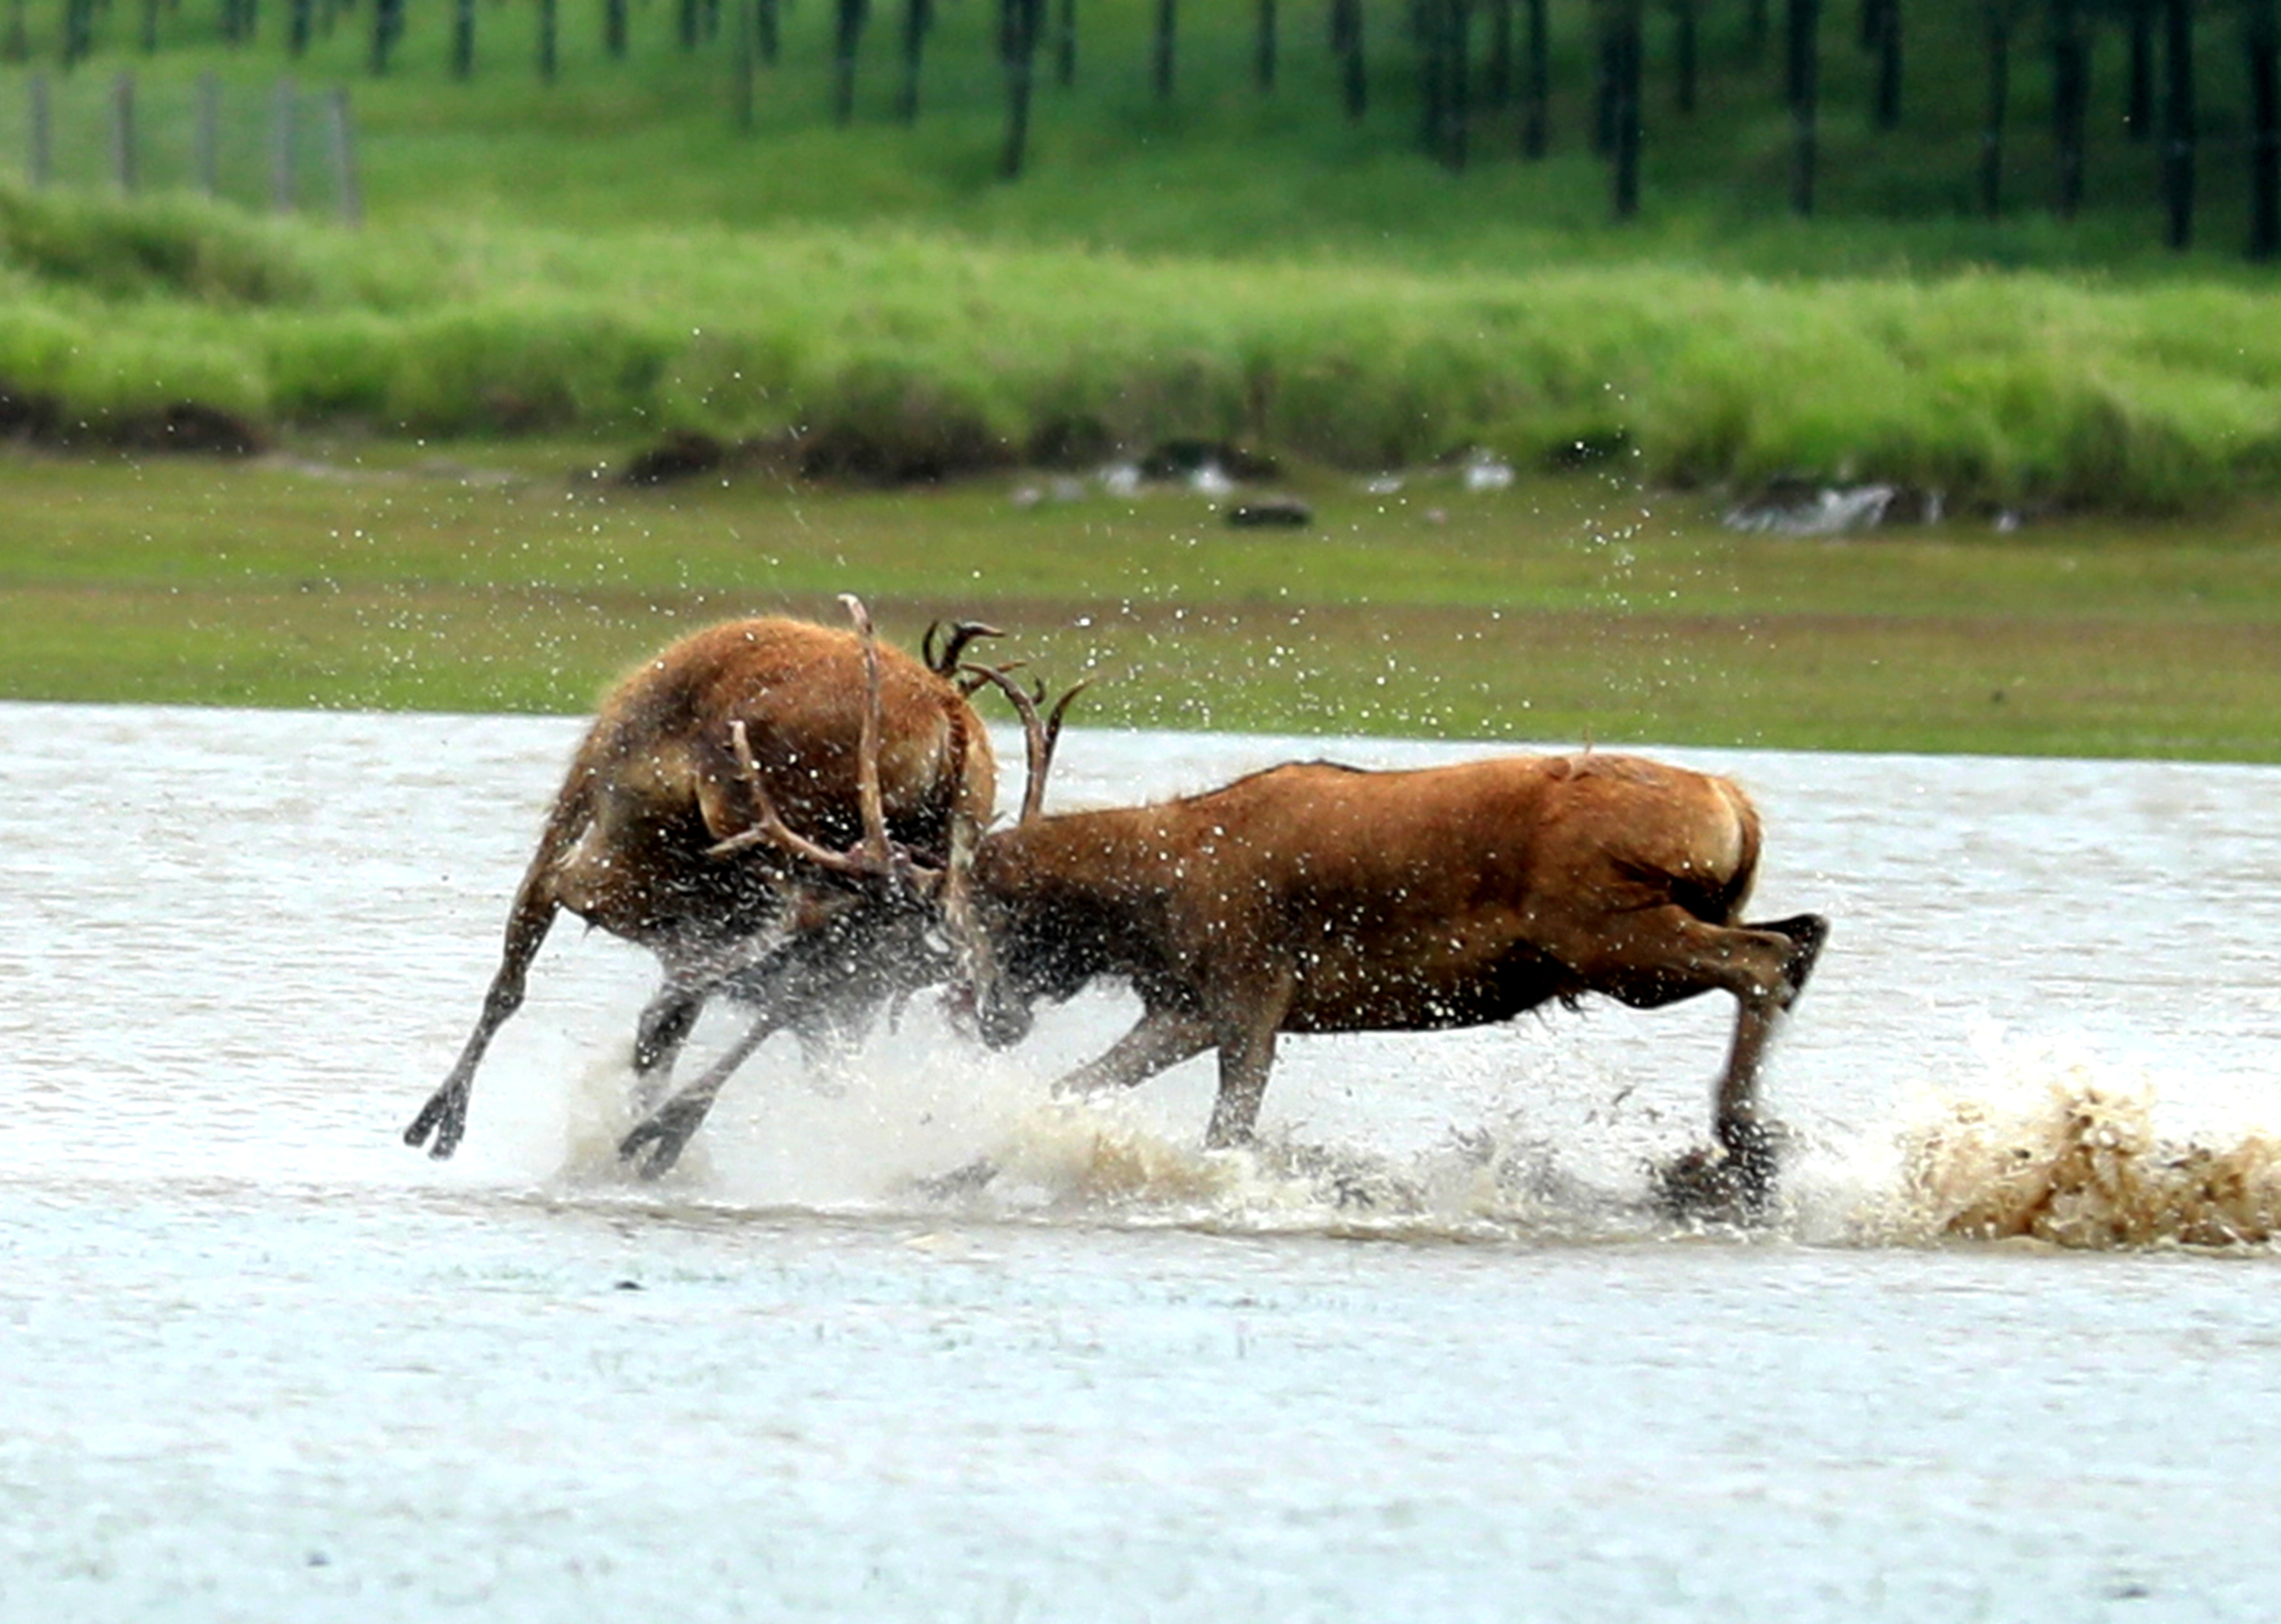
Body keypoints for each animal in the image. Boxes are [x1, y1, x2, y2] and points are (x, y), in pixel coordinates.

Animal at [404, 597, 1005, 1176]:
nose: (836, 1073)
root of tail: (950, 718)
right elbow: (666, 1033)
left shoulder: (576, 822)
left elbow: (509, 980)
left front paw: (439, 1122)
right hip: (925, 863)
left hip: (766, 813)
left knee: (808, 916)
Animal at [958, 679, 1829, 1213]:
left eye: (986, 911)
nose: (987, 1019)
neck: (1158, 890)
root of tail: (1734, 805)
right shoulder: (1185, 1010)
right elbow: (1068, 1090)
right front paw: (956, 1171)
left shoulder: (1251, 995)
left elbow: (1226, 1134)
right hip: (1658, 935)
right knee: (1802, 934)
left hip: (1613, 940)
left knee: (1764, 959)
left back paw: (1742, 1148)